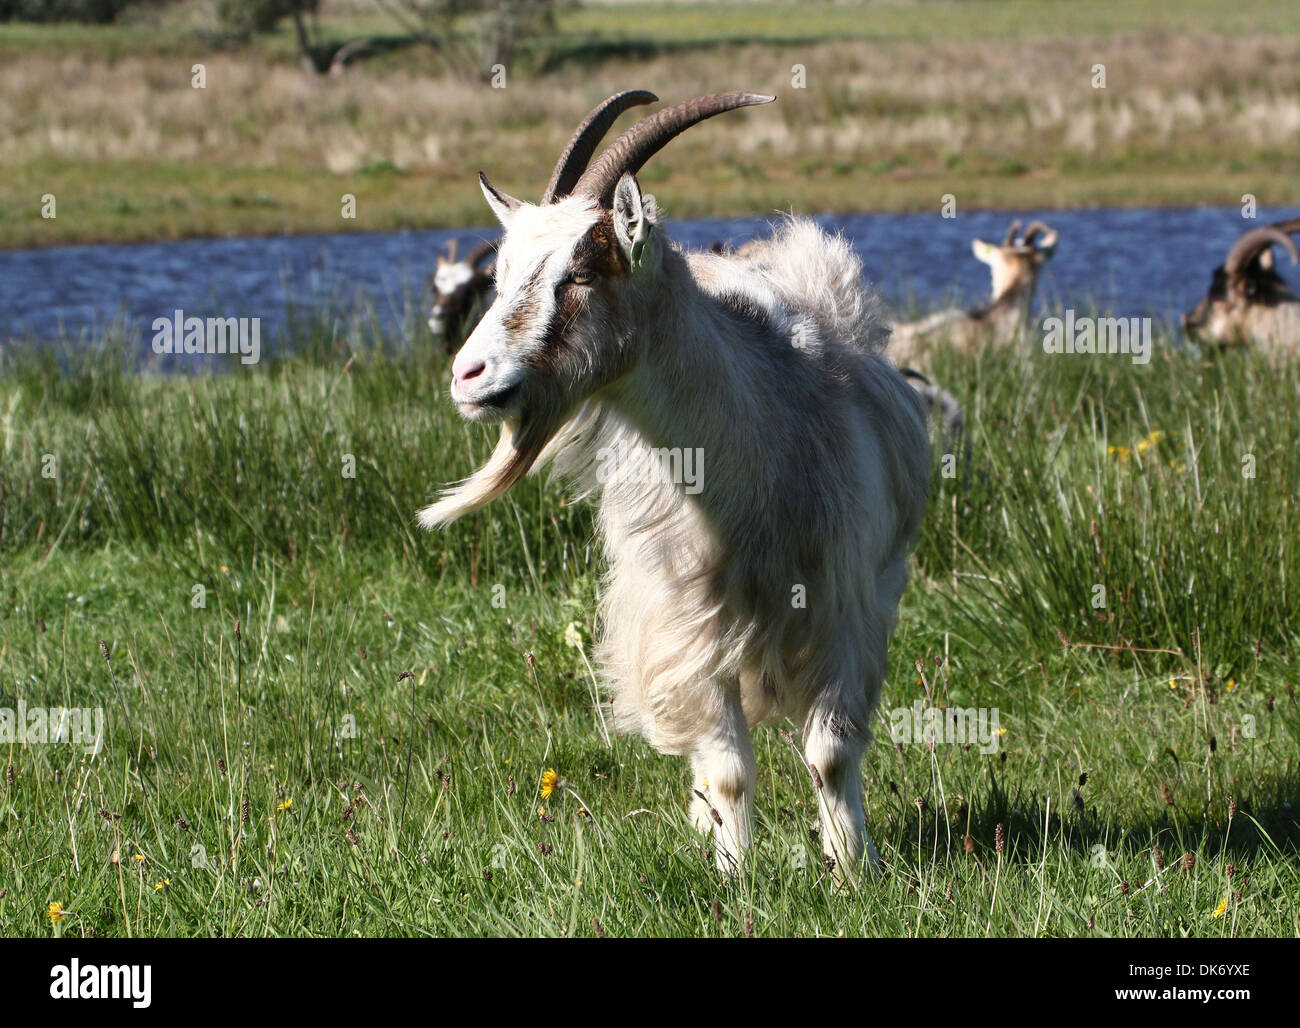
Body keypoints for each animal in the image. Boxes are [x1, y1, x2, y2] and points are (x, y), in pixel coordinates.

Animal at [421, 90, 930, 878]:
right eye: (499, 278)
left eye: (581, 273)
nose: (467, 375)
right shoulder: (689, 622)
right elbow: (726, 765)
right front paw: (735, 872)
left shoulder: (845, 607)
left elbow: (831, 754)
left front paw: (853, 869)